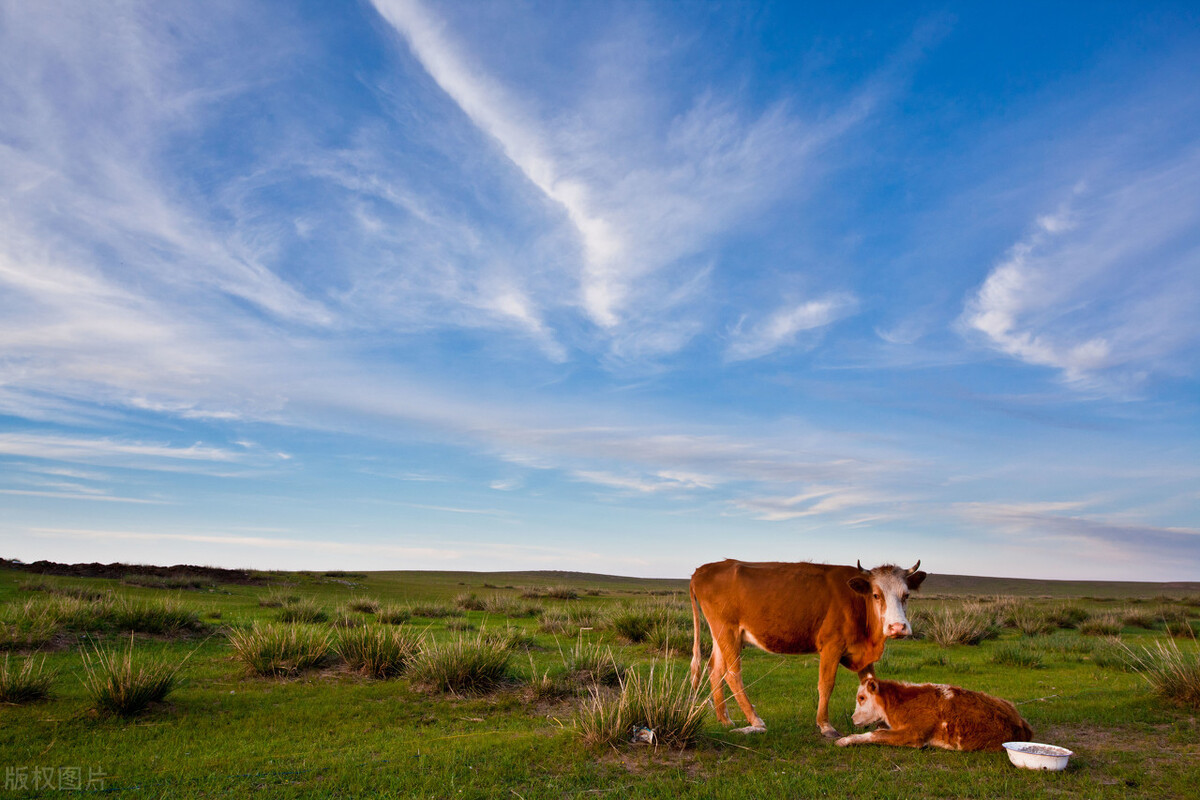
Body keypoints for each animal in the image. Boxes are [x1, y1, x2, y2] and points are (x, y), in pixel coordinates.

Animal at [686, 556, 926, 738]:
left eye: (906, 595)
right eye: (876, 594)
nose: (897, 627)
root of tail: (703, 570)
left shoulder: (860, 651)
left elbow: (870, 683)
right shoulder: (831, 645)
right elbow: (826, 684)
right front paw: (825, 725)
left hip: (721, 635)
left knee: (715, 670)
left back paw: (725, 720)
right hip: (728, 632)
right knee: (732, 674)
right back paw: (755, 721)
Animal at [835, 681, 1032, 753]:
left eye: (862, 698)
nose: (852, 718)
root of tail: (1020, 722)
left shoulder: (914, 734)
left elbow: (876, 734)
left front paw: (844, 740)